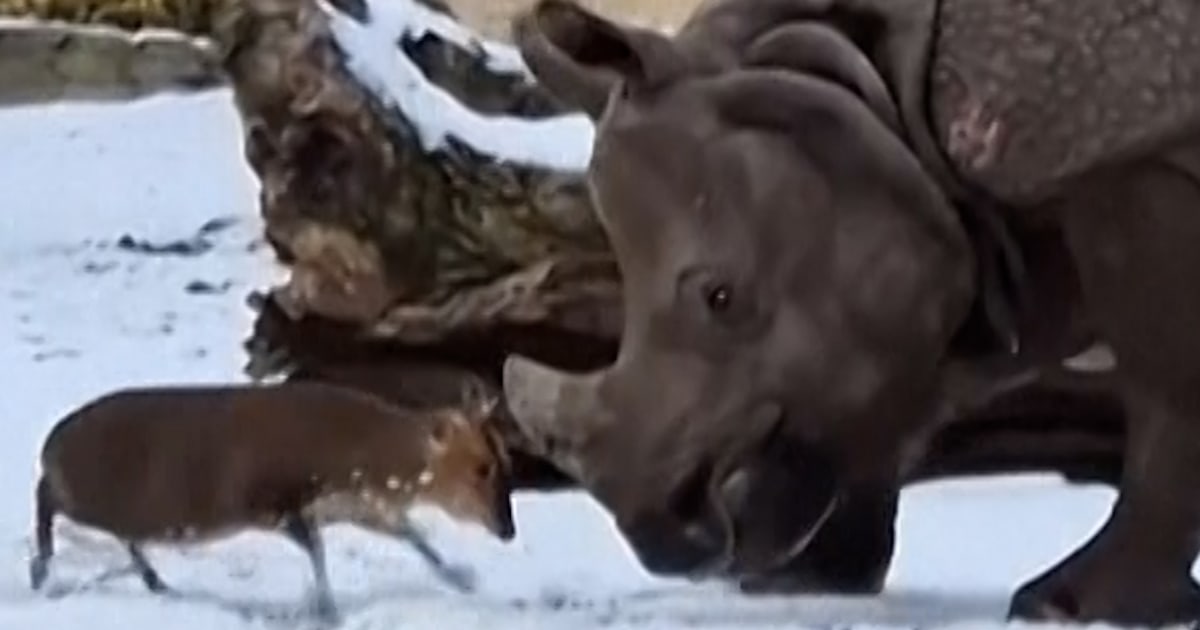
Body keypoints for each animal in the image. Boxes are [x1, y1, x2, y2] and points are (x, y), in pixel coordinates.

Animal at [27, 380, 517, 622]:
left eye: (506, 459)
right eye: (482, 467)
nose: (508, 529)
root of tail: (50, 444)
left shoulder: (358, 506)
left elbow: (412, 534)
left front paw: (463, 579)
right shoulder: (268, 501)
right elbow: (317, 549)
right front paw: (328, 610)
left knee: (122, 535)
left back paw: (157, 582)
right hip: (91, 494)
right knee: (46, 497)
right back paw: (40, 570)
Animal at [498, 0, 1200, 624]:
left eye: (721, 298)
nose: (663, 541)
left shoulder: (1124, 151)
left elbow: (1167, 388)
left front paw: (1066, 607)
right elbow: (899, 391)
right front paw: (800, 581)